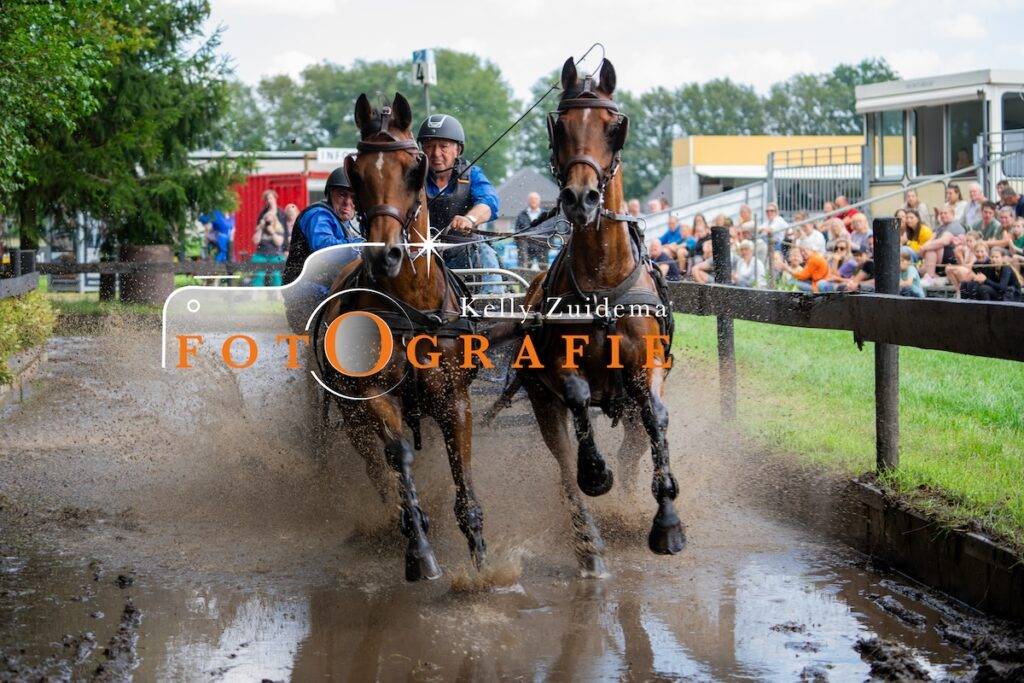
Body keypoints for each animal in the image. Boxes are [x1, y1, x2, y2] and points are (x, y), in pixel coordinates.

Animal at [316, 92, 486, 582]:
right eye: (356, 170)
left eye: (416, 168)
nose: (384, 253)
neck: (413, 308)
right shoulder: (373, 396)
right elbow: (399, 456)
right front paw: (420, 549)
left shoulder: (455, 399)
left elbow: (461, 467)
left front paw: (480, 559)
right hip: (349, 413)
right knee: (375, 467)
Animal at [514, 57, 685, 575]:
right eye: (562, 125)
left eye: (613, 126)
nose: (580, 198)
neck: (604, 279)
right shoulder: (558, 370)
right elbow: (576, 395)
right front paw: (595, 473)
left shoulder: (647, 366)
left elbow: (656, 416)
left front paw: (667, 520)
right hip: (540, 404)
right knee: (563, 464)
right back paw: (588, 540)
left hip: (623, 404)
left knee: (634, 440)